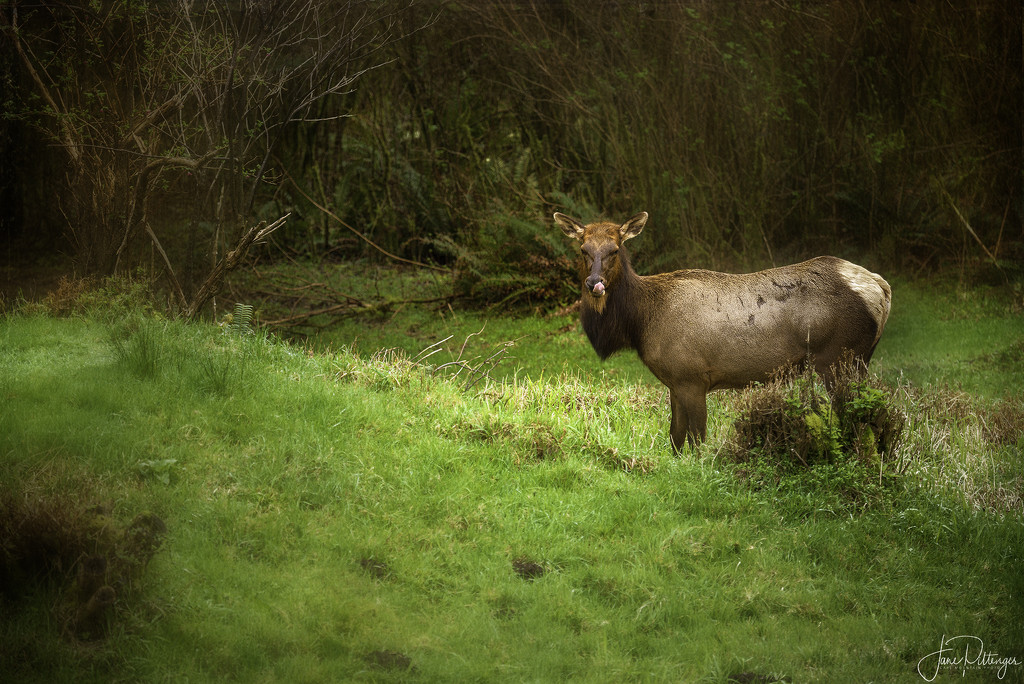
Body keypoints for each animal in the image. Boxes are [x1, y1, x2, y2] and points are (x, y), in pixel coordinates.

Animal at [552, 210, 888, 450]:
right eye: (583, 249)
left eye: (614, 249)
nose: (594, 283)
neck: (641, 322)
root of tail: (881, 288)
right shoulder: (675, 381)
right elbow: (675, 438)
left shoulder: (692, 377)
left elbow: (697, 439)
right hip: (859, 360)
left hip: (840, 358)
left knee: (861, 416)